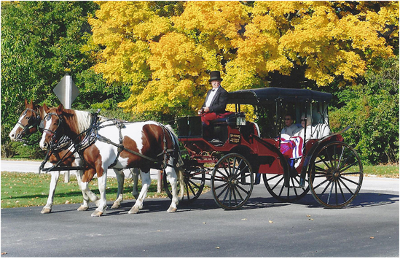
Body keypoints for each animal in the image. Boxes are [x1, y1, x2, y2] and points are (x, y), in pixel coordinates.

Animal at [9, 101, 139, 214]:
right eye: (21, 115)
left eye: (27, 117)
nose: (12, 135)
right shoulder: (55, 166)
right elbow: (53, 186)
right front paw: (48, 206)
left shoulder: (79, 165)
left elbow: (81, 183)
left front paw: (88, 203)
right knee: (121, 176)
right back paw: (118, 201)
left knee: (134, 172)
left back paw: (135, 195)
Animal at [38, 104, 180, 217]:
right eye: (44, 122)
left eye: (56, 122)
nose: (43, 144)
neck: (92, 135)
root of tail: (164, 127)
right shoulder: (90, 167)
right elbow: (83, 185)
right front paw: (96, 201)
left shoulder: (100, 166)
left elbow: (101, 186)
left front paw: (100, 207)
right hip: (144, 162)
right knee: (146, 181)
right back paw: (136, 206)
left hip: (167, 160)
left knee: (173, 180)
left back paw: (173, 204)